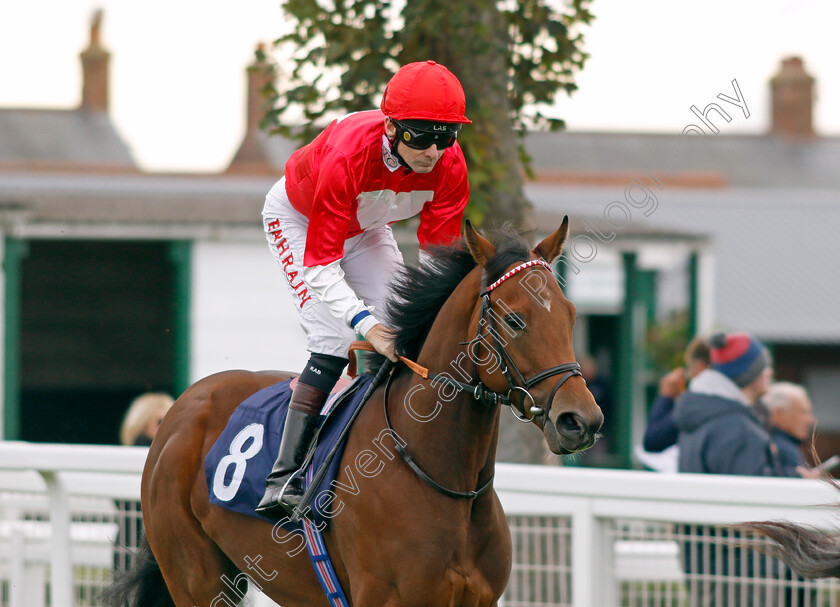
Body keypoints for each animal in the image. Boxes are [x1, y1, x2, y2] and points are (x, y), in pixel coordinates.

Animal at [106, 221, 604, 607]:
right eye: (515, 320)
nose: (580, 420)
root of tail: (182, 407)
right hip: (197, 578)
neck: (439, 475)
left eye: (570, 315)